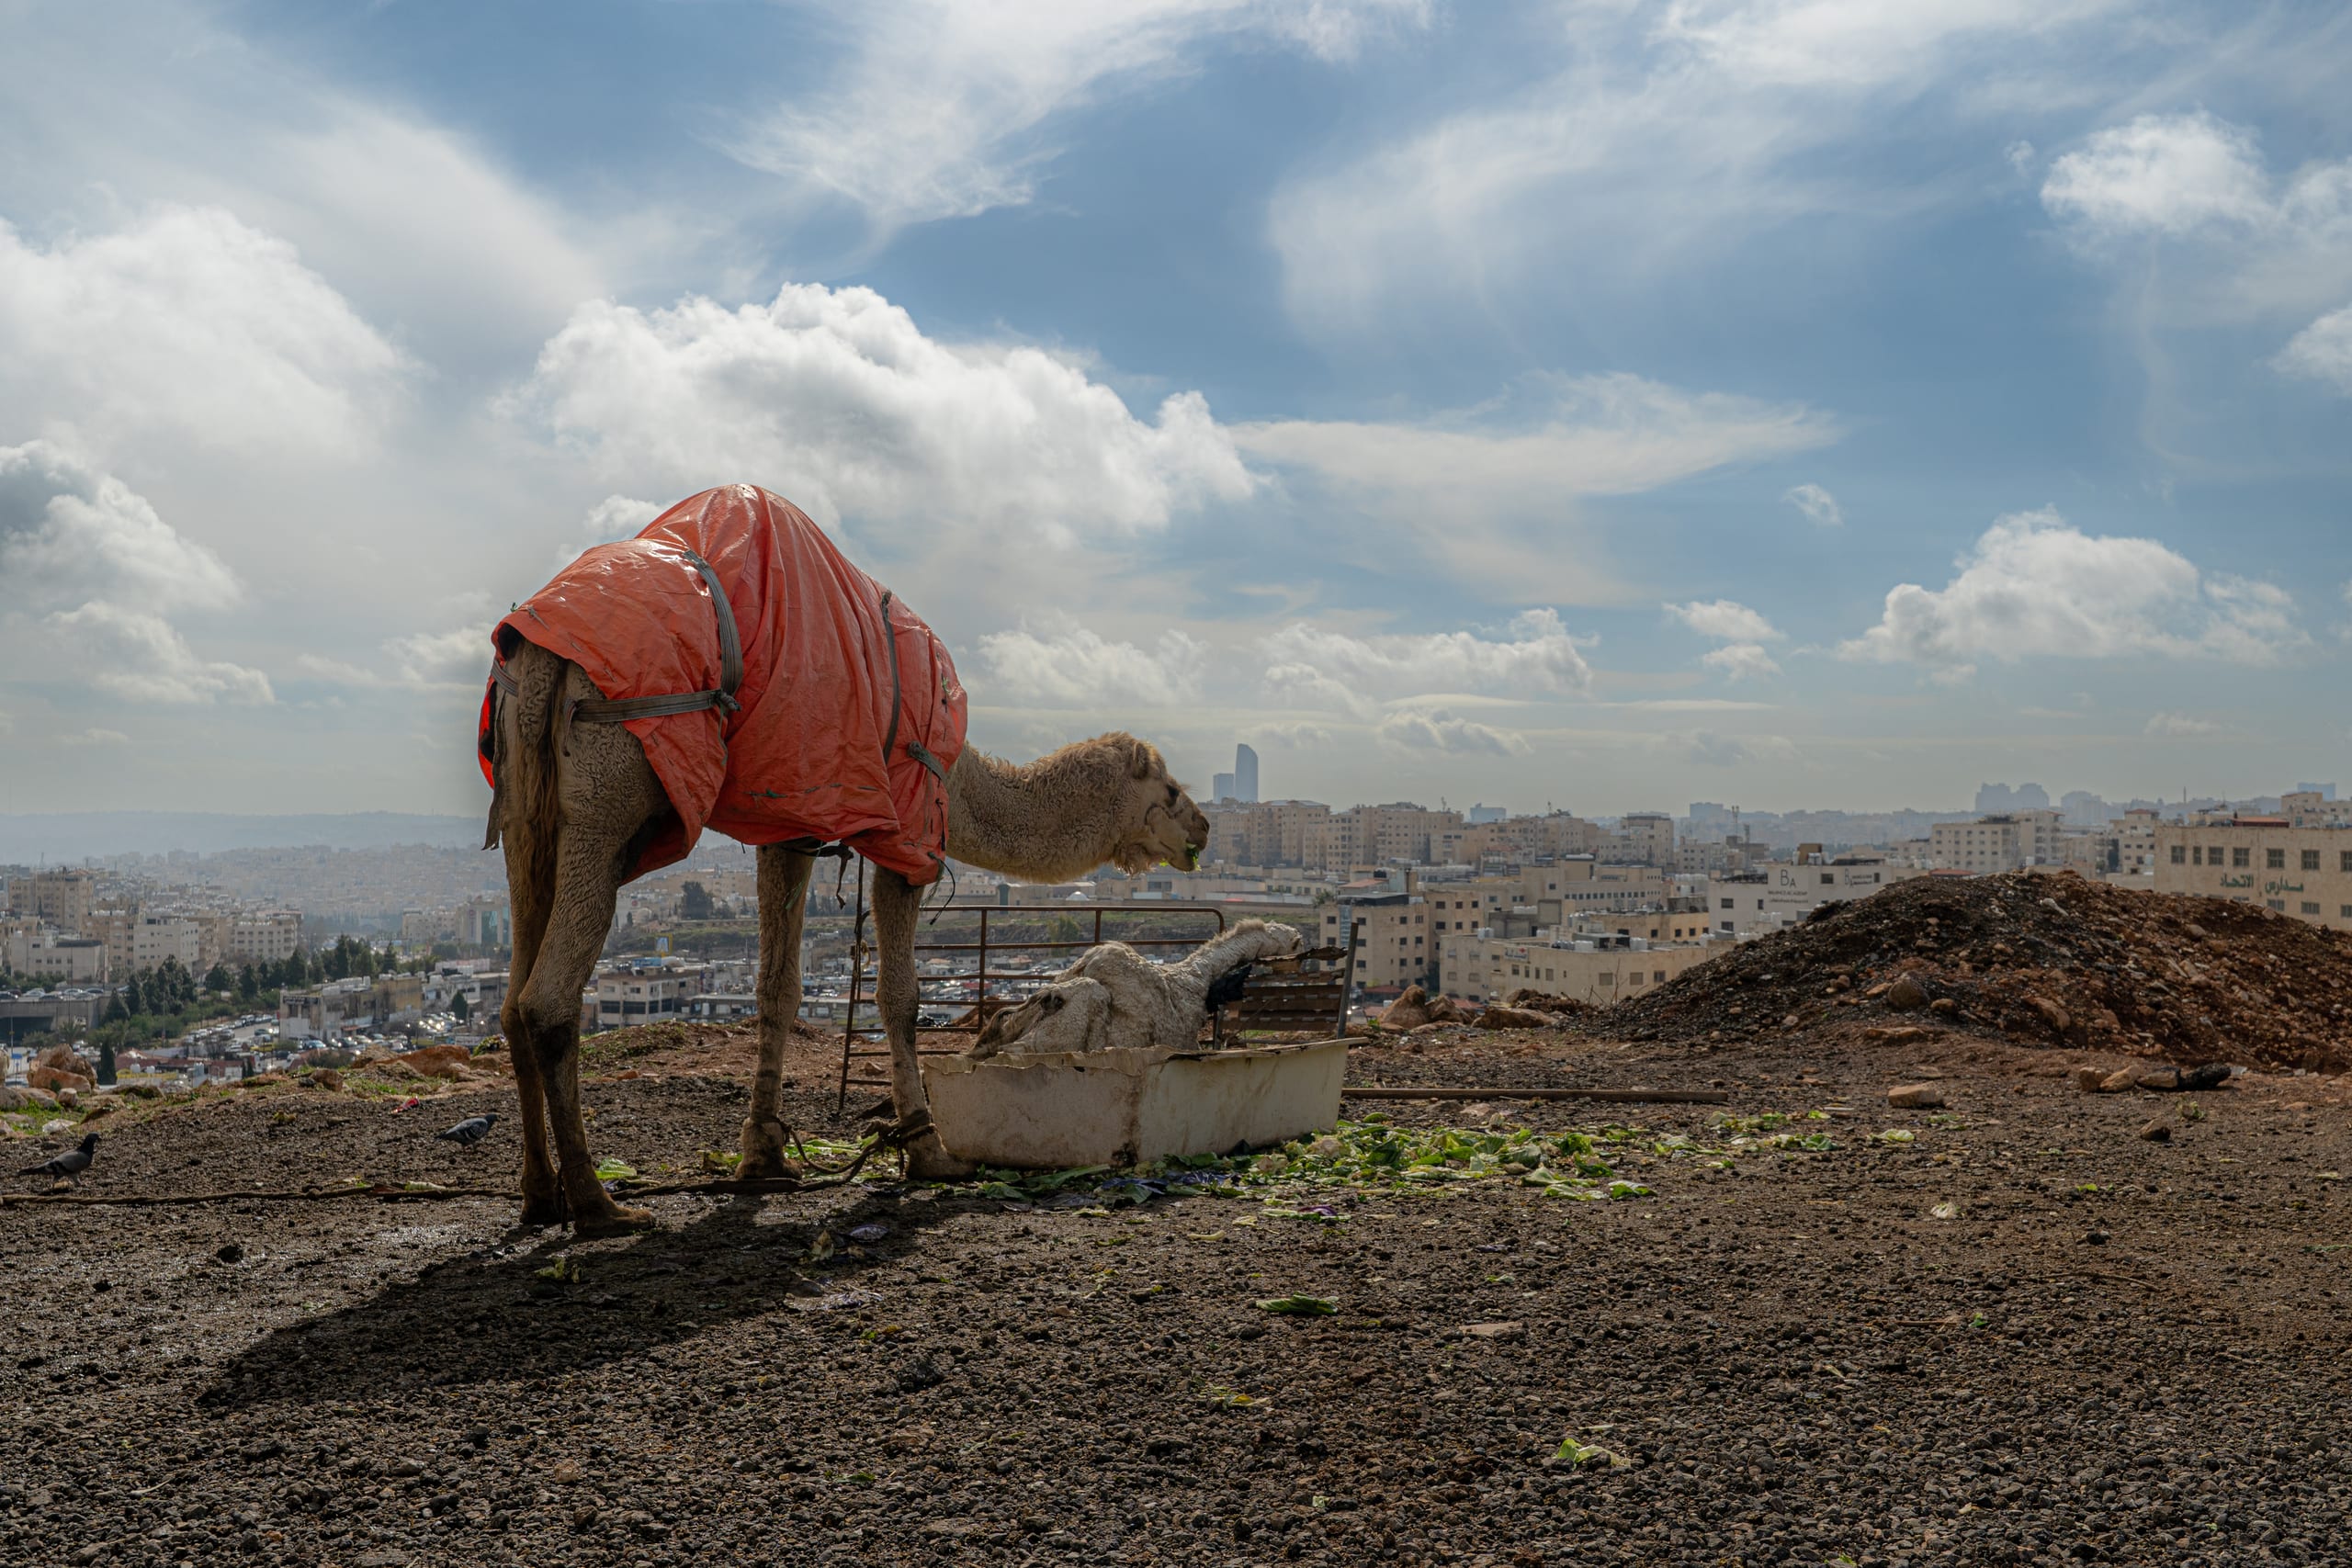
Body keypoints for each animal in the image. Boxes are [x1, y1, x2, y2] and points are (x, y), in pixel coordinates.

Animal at [489, 631, 1209, 1234]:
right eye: (1171, 790)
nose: (1203, 828)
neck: (960, 776)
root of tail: (543, 654)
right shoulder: (907, 836)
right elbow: (899, 996)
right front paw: (928, 1148)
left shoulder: (787, 826)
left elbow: (778, 987)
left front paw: (764, 1157)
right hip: (609, 787)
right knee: (547, 1000)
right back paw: (599, 1204)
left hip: (527, 807)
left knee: (510, 1000)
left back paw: (540, 1196)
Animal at [969, 919, 1306, 1058]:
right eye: (1295, 944)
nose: (1303, 962)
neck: (1196, 978)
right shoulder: (1182, 1041)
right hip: (1052, 1034)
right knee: (1016, 1052)